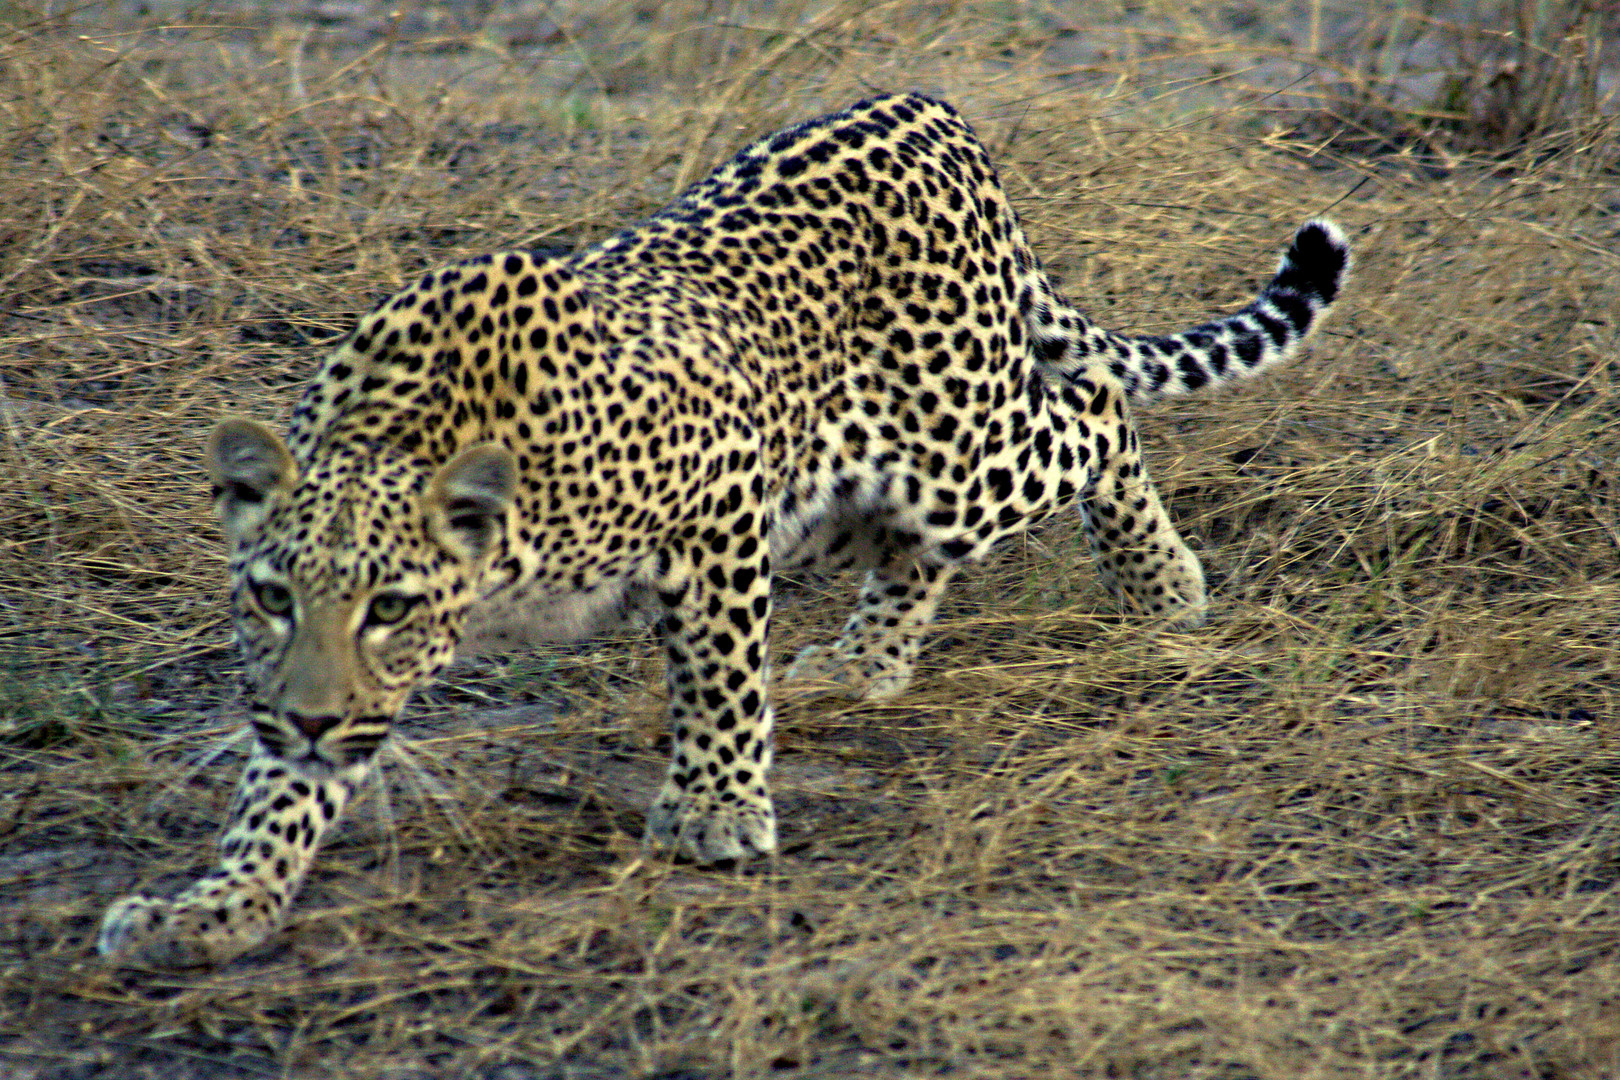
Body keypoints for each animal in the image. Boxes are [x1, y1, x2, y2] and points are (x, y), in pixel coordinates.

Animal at [94, 95, 1347, 971]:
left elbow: (720, 679)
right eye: (271, 597)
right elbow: (279, 794)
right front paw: (216, 908)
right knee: (921, 545)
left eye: (390, 609)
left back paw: (1158, 585)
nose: (311, 717)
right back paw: (867, 662)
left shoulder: (720, 510)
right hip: (846, 492)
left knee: (1092, 409)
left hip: (956, 449)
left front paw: (714, 808)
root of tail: (935, 118)